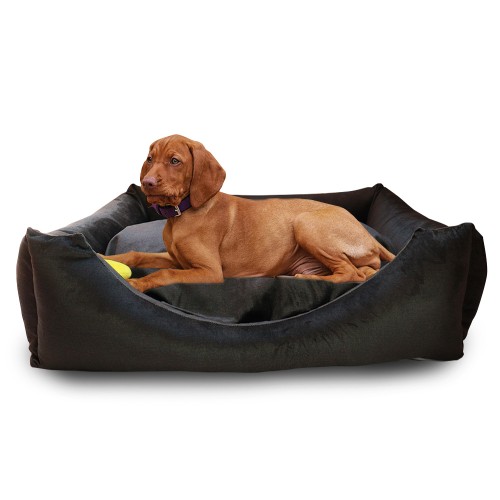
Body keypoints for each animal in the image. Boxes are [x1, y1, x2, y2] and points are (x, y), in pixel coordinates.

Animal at [106, 134, 395, 292]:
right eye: (150, 159)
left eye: (175, 161)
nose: (147, 183)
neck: (181, 215)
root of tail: (369, 237)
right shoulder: (178, 261)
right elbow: (136, 255)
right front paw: (104, 258)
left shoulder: (210, 271)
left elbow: (163, 275)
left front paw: (136, 284)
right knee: (365, 271)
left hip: (306, 223)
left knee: (351, 274)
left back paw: (306, 278)